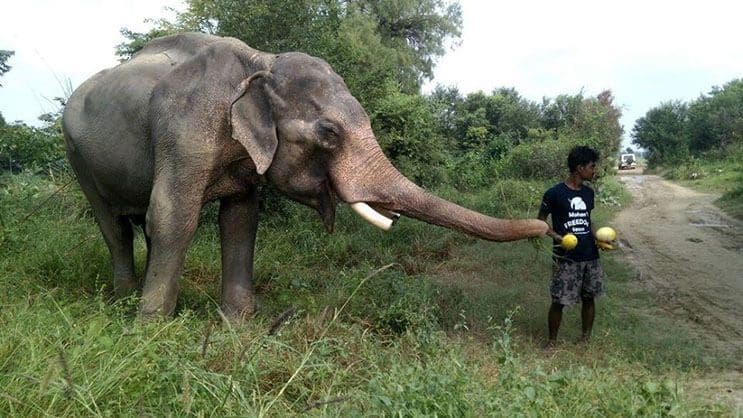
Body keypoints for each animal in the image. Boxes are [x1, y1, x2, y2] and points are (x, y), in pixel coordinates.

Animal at [64, 32, 548, 318]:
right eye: (329, 133)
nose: (546, 227)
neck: (260, 62)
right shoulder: (185, 130)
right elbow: (173, 216)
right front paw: (153, 329)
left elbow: (239, 221)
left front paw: (240, 325)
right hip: (75, 152)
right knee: (115, 227)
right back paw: (125, 298)